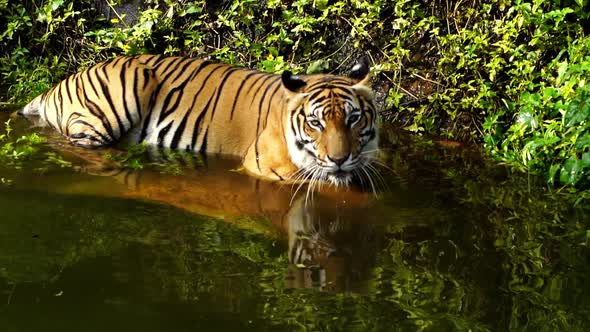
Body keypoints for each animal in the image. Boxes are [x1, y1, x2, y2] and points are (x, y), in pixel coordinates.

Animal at [20, 53, 382, 185]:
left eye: (353, 119)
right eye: (315, 123)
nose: (339, 159)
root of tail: (56, 85)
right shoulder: (267, 170)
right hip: (126, 85)